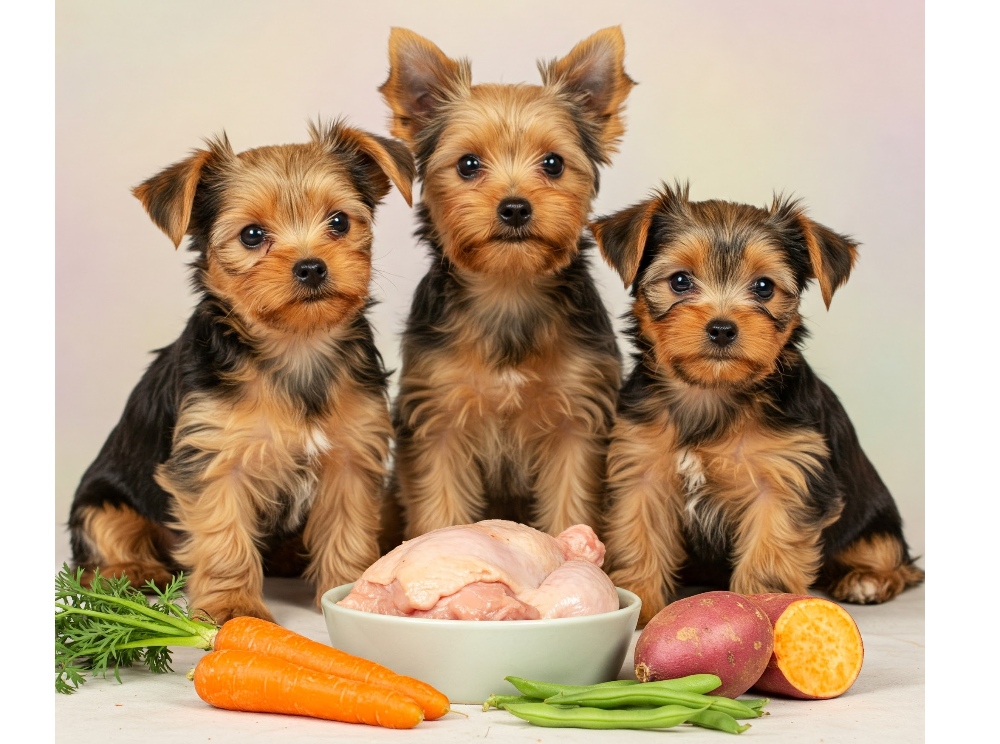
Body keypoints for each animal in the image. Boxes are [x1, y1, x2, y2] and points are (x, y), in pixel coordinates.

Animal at [68, 122, 414, 620]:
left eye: (339, 222)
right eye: (252, 235)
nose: (311, 267)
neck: (295, 346)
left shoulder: (351, 455)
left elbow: (348, 528)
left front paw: (349, 587)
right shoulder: (214, 460)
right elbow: (223, 538)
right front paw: (232, 607)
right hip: (103, 500)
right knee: (103, 542)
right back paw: (129, 571)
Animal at [378, 27, 636, 548]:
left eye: (553, 163)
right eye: (468, 164)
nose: (515, 207)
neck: (508, 288)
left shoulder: (576, 422)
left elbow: (570, 501)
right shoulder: (439, 419)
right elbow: (439, 505)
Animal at [588, 183, 924, 624]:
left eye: (764, 287)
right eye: (679, 281)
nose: (722, 328)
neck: (710, 391)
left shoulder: (784, 480)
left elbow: (769, 554)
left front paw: (764, 608)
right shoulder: (641, 470)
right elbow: (638, 536)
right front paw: (643, 605)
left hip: (874, 520)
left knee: (895, 560)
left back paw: (866, 580)